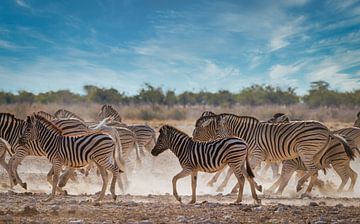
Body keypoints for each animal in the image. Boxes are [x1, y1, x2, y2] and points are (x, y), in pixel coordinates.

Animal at [194, 114, 352, 196]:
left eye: (215, 131)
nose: (194, 141)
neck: (247, 135)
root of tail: (328, 130)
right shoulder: (248, 156)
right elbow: (239, 172)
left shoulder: (256, 155)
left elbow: (243, 172)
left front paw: (230, 188)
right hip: (316, 153)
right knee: (315, 169)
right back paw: (301, 186)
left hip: (306, 151)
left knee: (314, 171)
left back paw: (305, 192)